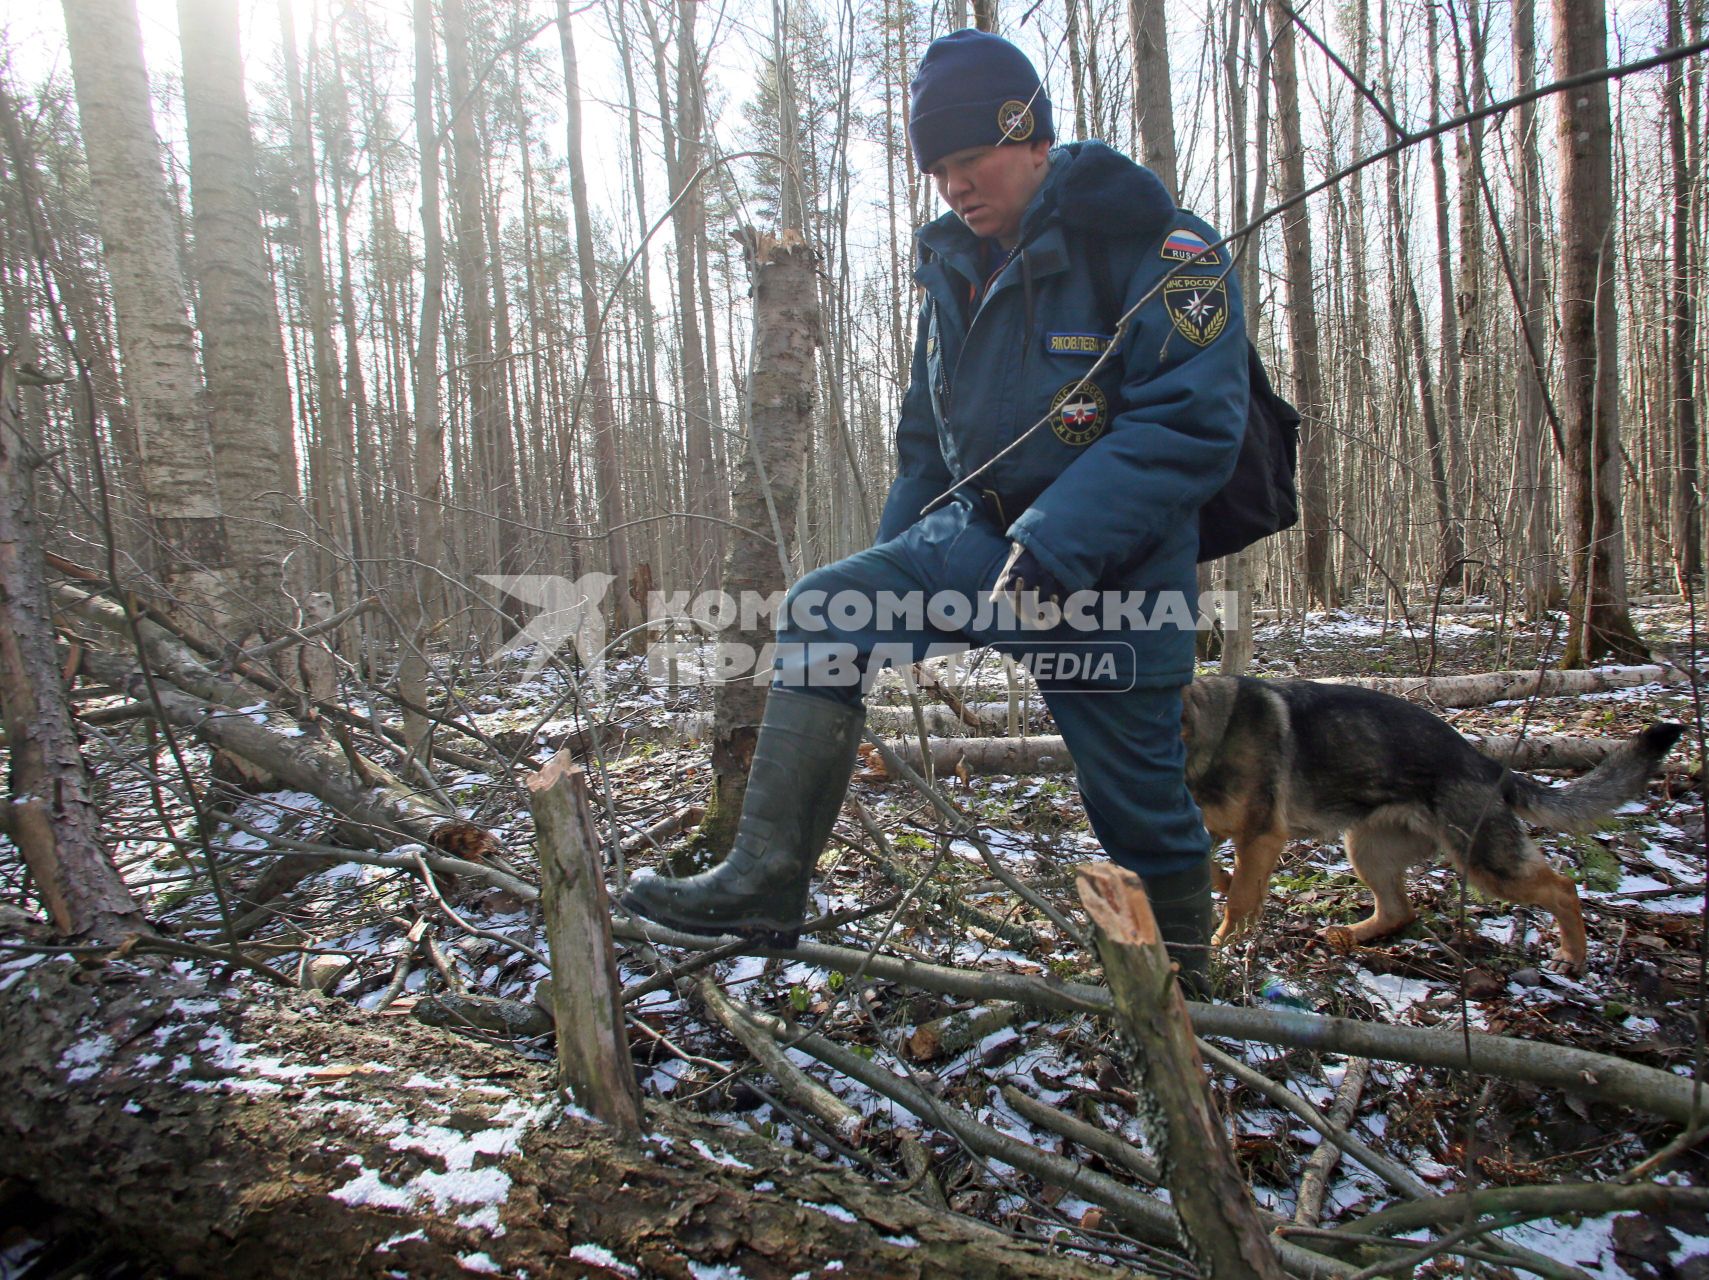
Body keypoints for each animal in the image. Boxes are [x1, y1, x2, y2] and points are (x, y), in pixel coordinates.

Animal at [1182, 680, 1674, 970]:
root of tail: (1486, 763)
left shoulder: (1261, 835)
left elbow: (1240, 902)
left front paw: (1221, 944)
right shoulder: (1216, 833)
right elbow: (1217, 872)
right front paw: (1223, 885)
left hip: (1486, 862)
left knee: (1563, 888)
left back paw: (1573, 955)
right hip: (1366, 850)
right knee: (1399, 910)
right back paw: (1348, 934)